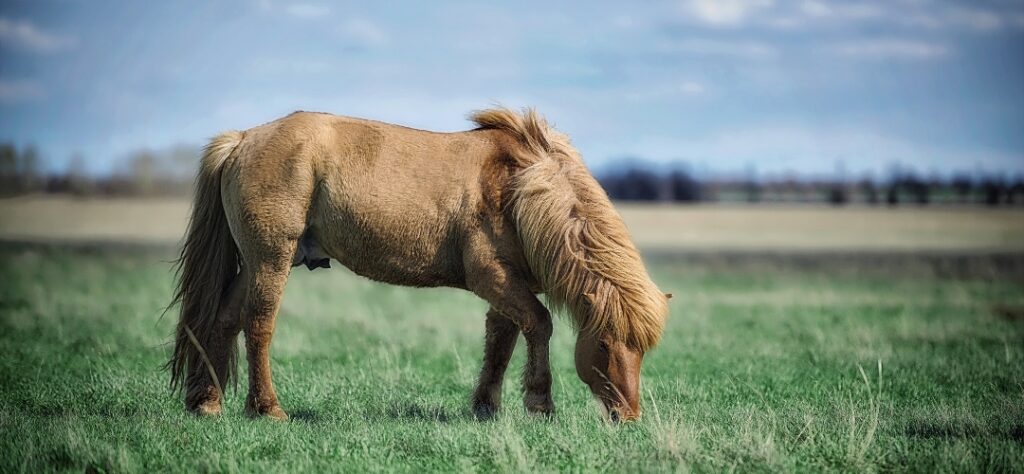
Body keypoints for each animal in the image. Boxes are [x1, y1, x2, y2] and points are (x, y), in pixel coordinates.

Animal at [165, 107, 671, 423]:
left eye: (643, 350)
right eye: (603, 344)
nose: (629, 417)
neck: (520, 186)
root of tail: (243, 140)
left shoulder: (508, 286)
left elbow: (501, 342)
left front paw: (486, 407)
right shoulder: (493, 278)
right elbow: (540, 326)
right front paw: (539, 404)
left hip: (255, 264)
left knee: (221, 322)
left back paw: (207, 403)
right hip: (272, 259)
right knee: (259, 326)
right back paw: (267, 409)